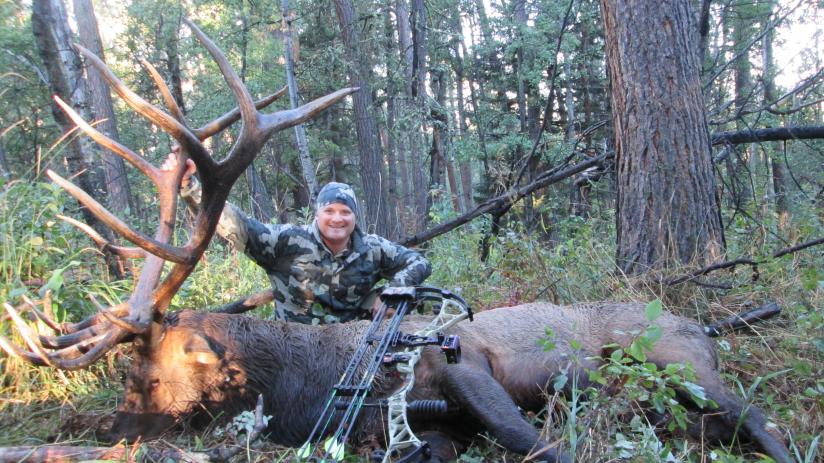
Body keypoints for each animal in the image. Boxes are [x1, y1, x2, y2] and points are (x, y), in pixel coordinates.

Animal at [0, 20, 792, 463]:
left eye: (147, 377)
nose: (108, 428)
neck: (304, 383)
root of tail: (706, 324)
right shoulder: (417, 430)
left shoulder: (463, 363)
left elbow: (543, 445)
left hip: (680, 361)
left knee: (765, 419)